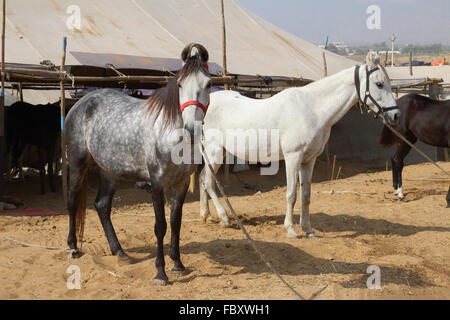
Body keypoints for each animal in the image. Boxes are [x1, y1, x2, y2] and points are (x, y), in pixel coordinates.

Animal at [199, 53, 400, 238]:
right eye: (379, 84)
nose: (396, 115)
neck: (312, 109)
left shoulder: (309, 160)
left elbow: (306, 195)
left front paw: (308, 229)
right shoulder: (292, 157)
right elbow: (291, 194)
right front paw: (291, 229)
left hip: (216, 153)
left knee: (202, 179)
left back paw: (205, 215)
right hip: (214, 152)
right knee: (209, 182)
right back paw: (224, 218)